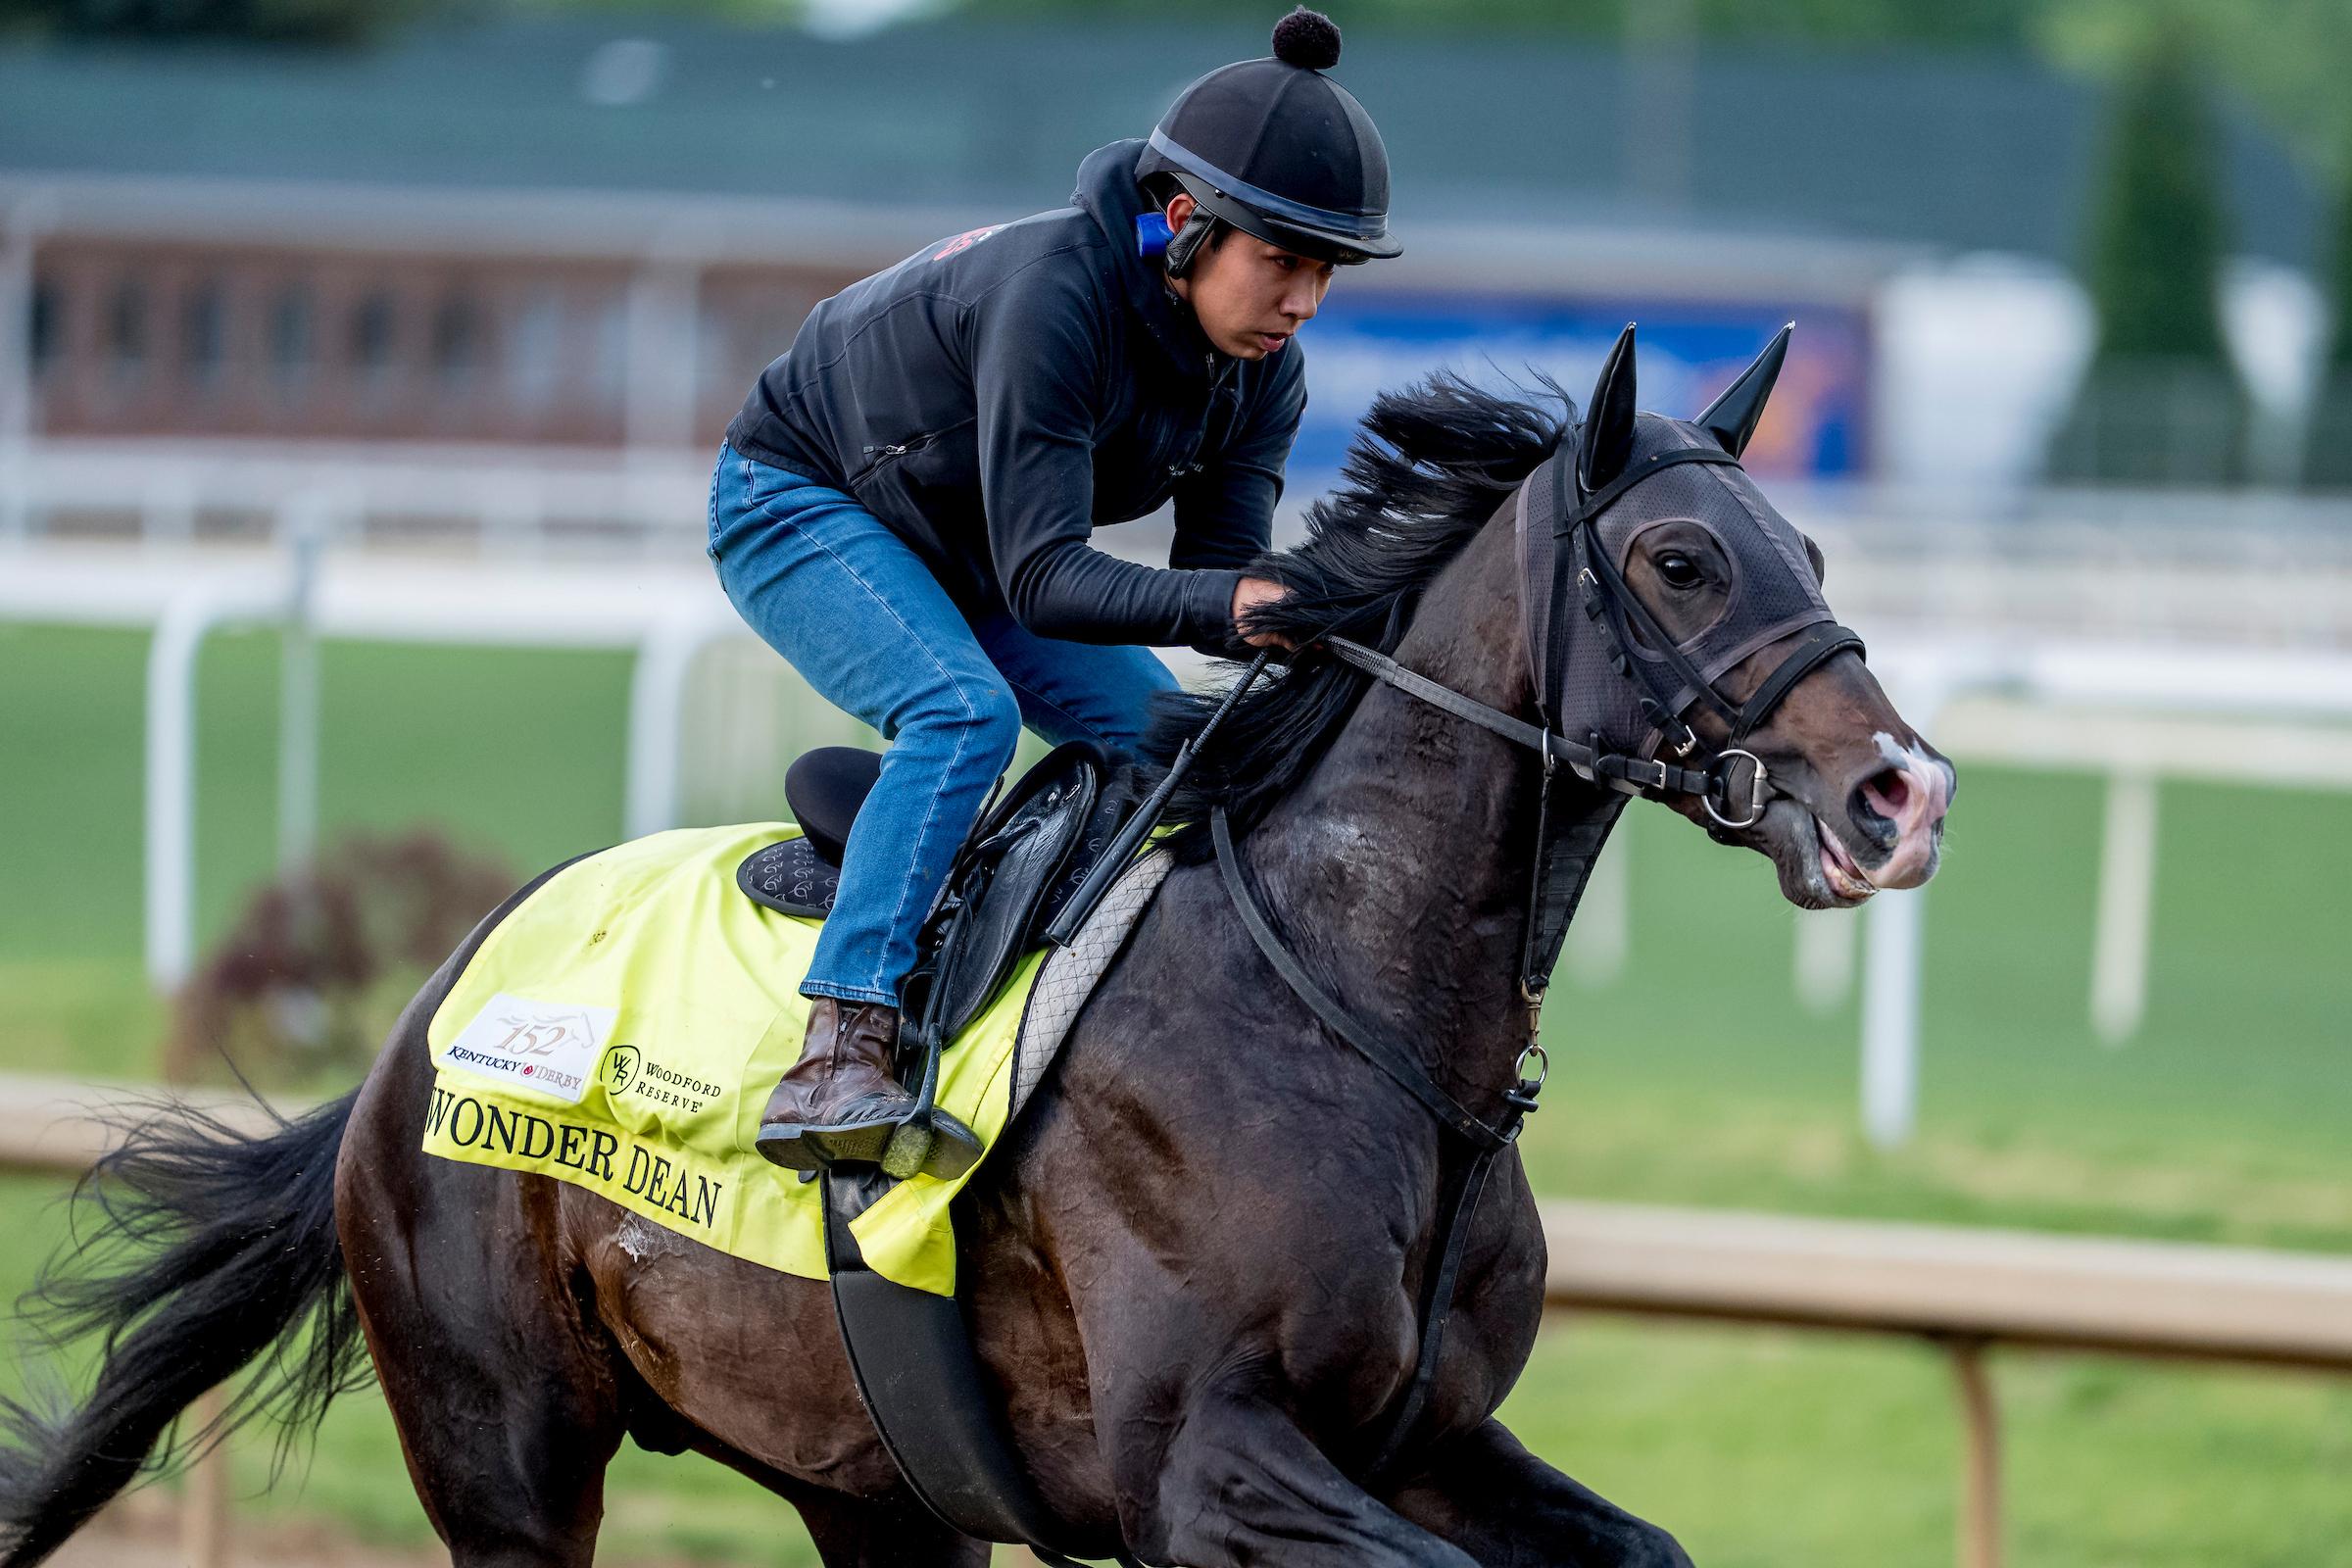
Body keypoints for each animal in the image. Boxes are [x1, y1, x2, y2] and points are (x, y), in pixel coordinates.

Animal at [0, 327, 1953, 1568]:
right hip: (507, 1458)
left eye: (1809, 539)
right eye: (1685, 559)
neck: (1368, 1019)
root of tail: (414, 1022)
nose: (1903, 792)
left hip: (871, 1482)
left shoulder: (1425, 1441)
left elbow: (1643, 1544)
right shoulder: (1200, 1468)